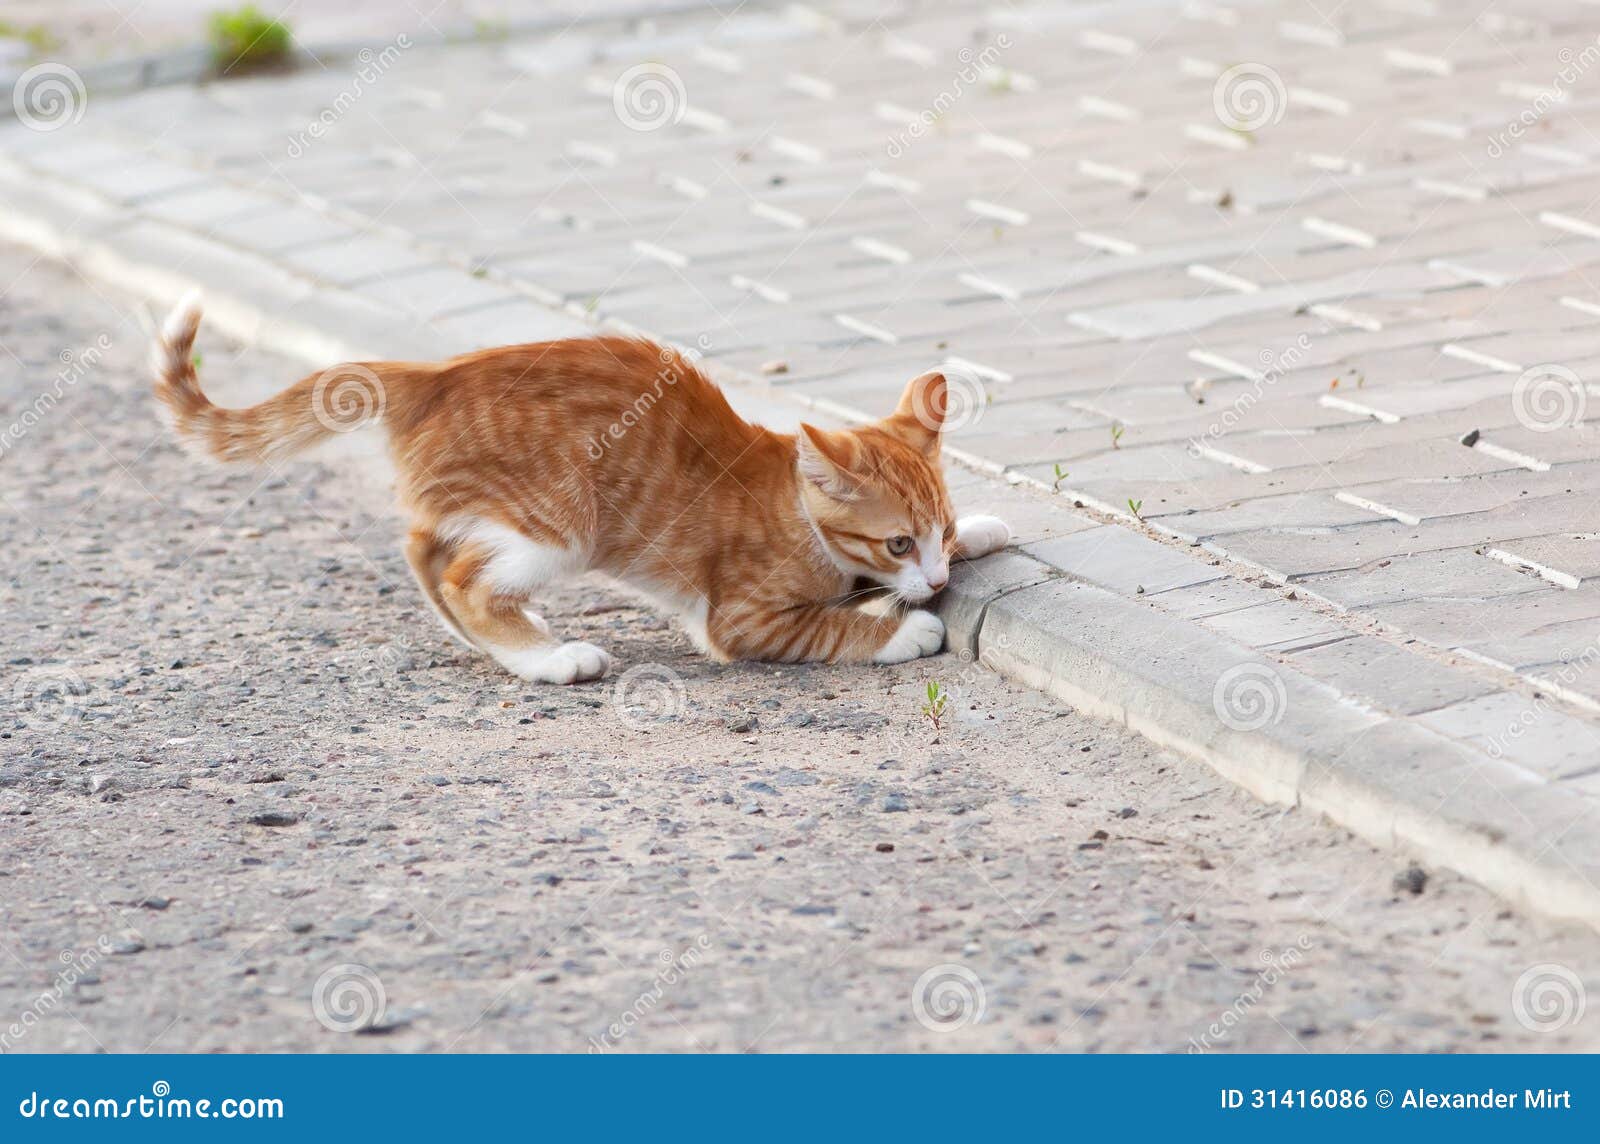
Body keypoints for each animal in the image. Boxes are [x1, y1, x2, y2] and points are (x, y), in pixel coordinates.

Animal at [147, 297, 998, 688]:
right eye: (896, 540)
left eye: (942, 531)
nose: (935, 578)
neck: (790, 503)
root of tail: (436, 374)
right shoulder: (740, 620)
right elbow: (828, 625)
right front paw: (903, 629)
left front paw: (987, 531)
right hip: (560, 526)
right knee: (463, 576)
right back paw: (547, 660)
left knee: (423, 547)